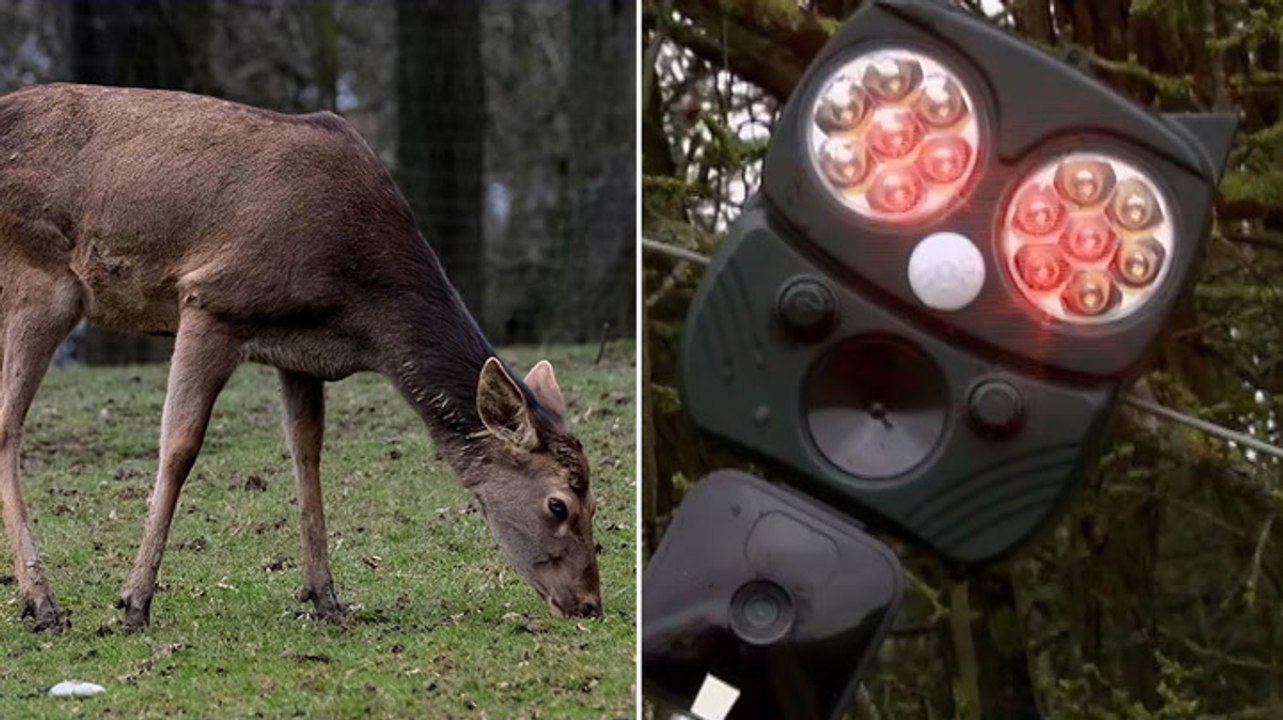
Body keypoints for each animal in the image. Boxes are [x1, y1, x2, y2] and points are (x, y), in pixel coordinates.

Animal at [0, 83, 602, 633]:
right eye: (559, 505)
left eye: (595, 501)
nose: (589, 605)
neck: (358, 308)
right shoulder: (211, 300)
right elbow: (180, 447)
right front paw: (134, 601)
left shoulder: (300, 355)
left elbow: (306, 454)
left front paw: (326, 598)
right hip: (40, 279)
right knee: (9, 425)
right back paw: (43, 602)